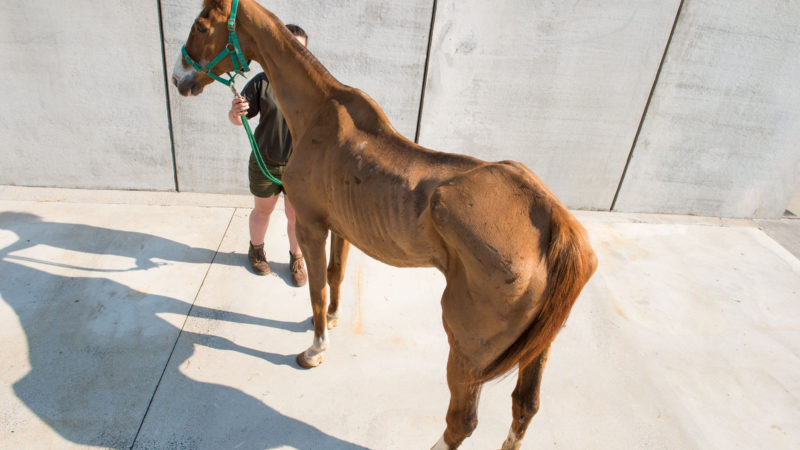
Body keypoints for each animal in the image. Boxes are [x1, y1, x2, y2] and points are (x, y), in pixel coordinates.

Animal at [175, 1, 596, 448]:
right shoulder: (341, 228)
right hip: (538, 348)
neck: (318, 113)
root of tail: (554, 219)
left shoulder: (310, 225)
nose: (178, 78)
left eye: (202, 25)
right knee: (525, 407)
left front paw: (316, 349)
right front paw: (334, 321)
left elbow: (317, 290)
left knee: (462, 421)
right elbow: (336, 275)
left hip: (467, 345)